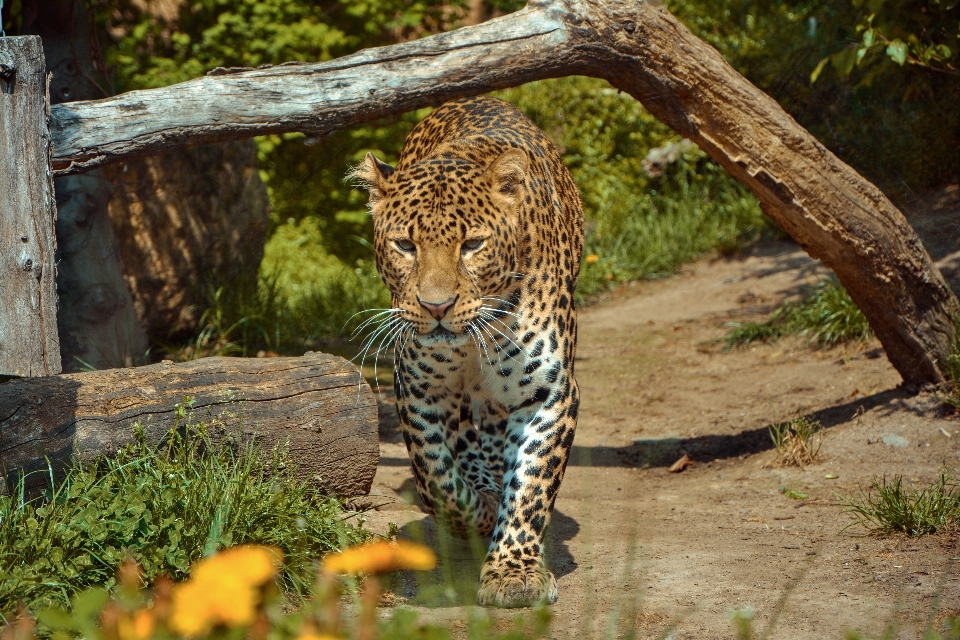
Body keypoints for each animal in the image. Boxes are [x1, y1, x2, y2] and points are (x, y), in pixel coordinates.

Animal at [348, 92, 580, 608]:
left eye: (473, 244)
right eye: (405, 244)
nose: (437, 306)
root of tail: (475, 96)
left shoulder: (549, 393)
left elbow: (530, 485)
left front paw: (514, 571)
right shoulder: (420, 390)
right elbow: (436, 477)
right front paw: (479, 516)